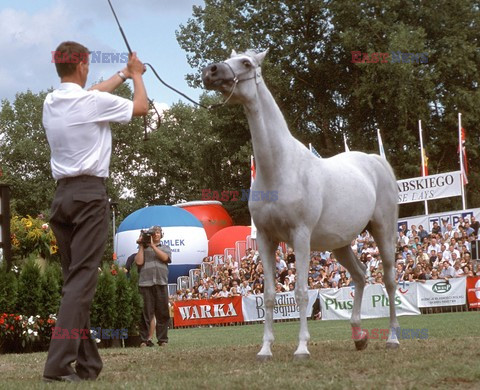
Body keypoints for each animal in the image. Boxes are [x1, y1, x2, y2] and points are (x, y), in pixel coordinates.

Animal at [201, 48, 400, 360]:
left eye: (246, 62)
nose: (211, 71)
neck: (280, 168)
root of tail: (375, 161)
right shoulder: (266, 239)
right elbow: (270, 295)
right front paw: (265, 349)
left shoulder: (301, 237)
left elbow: (302, 293)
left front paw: (302, 348)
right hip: (340, 244)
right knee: (360, 276)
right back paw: (359, 336)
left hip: (383, 231)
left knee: (390, 280)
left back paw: (392, 338)